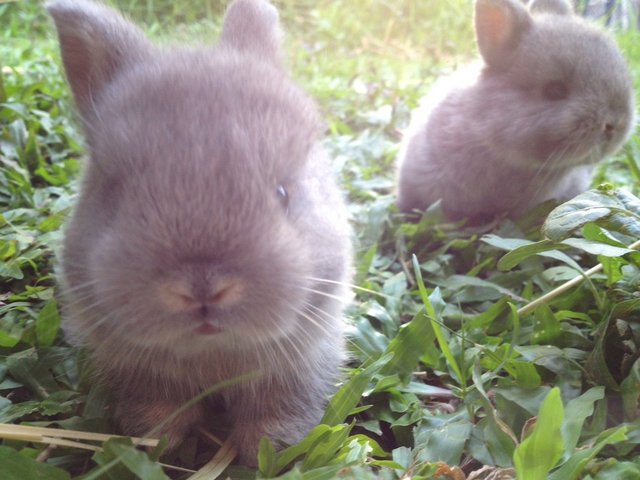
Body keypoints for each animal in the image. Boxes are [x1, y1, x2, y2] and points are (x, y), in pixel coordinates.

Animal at [47, 0, 352, 464]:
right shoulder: (141, 373)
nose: (202, 288)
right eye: (114, 190)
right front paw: (158, 441)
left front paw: (266, 451)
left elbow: (278, 411)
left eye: (282, 192)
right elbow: (160, 407)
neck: (213, 353)